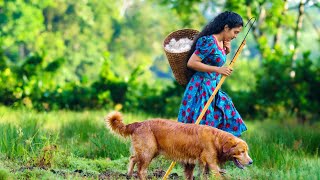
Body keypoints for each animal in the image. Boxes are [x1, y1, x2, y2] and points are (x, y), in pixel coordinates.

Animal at [105, 112, 252, 179]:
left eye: (246, 151)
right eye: (242, 151)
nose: (251, 162)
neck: (217, 139)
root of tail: (139, 123)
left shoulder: (192, 163)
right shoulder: (210, 161)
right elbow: (216, 174)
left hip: (150, 151)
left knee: (133, 158)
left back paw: (128, 174)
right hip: (148, 152)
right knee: (141, 170)